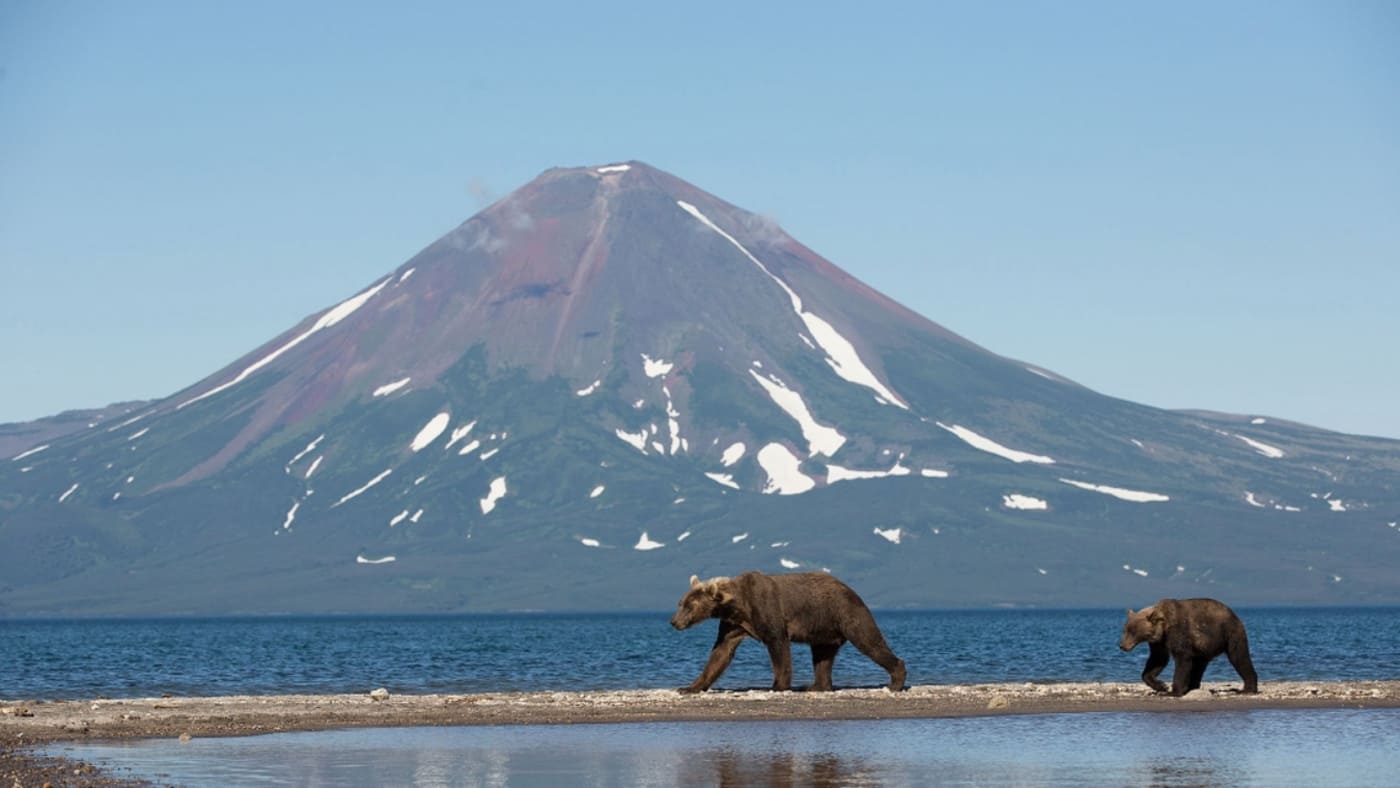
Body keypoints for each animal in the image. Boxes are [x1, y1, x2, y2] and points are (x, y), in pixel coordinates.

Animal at [669, 571, 907, 694]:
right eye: (681, 603)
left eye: (689, 606)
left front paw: (777, 686)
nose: (673, 622)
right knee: (822, 656)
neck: (738, 605)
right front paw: (689, 687)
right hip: (823, 628)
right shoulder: (732, 625)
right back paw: (815, 686)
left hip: (846, 613)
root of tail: (851, 589)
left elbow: (778, 646)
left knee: (869, 640)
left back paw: (895, 681)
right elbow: (720, 654)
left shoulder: (767, 609)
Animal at [1120, 599, 1265, 697]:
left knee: (1239, 657)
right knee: (1199, 665)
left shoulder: (1179, 633)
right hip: (1204, 646)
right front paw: (1161, 686)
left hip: (1229, 633)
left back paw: (1247, 689)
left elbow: (1182, 659)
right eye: (1125, 629)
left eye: (1133, 631)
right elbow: (1158, 660)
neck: (1164, 627)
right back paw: (1192, 686)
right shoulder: (1159, 642)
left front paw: (1173, 691)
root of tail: (1234, 614)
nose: (1122, 645)